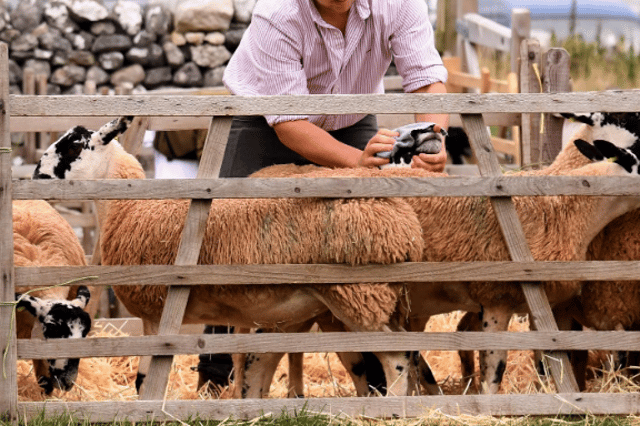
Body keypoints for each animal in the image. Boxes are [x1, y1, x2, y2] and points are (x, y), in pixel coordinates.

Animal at [32, 116, 427, 398]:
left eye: (72, 147)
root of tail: (403, 224)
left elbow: (145, 381)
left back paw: (394, 410)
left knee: (396, 357)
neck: (127, 207)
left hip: (359, 294)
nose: (36, 175)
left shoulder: (156, 313)